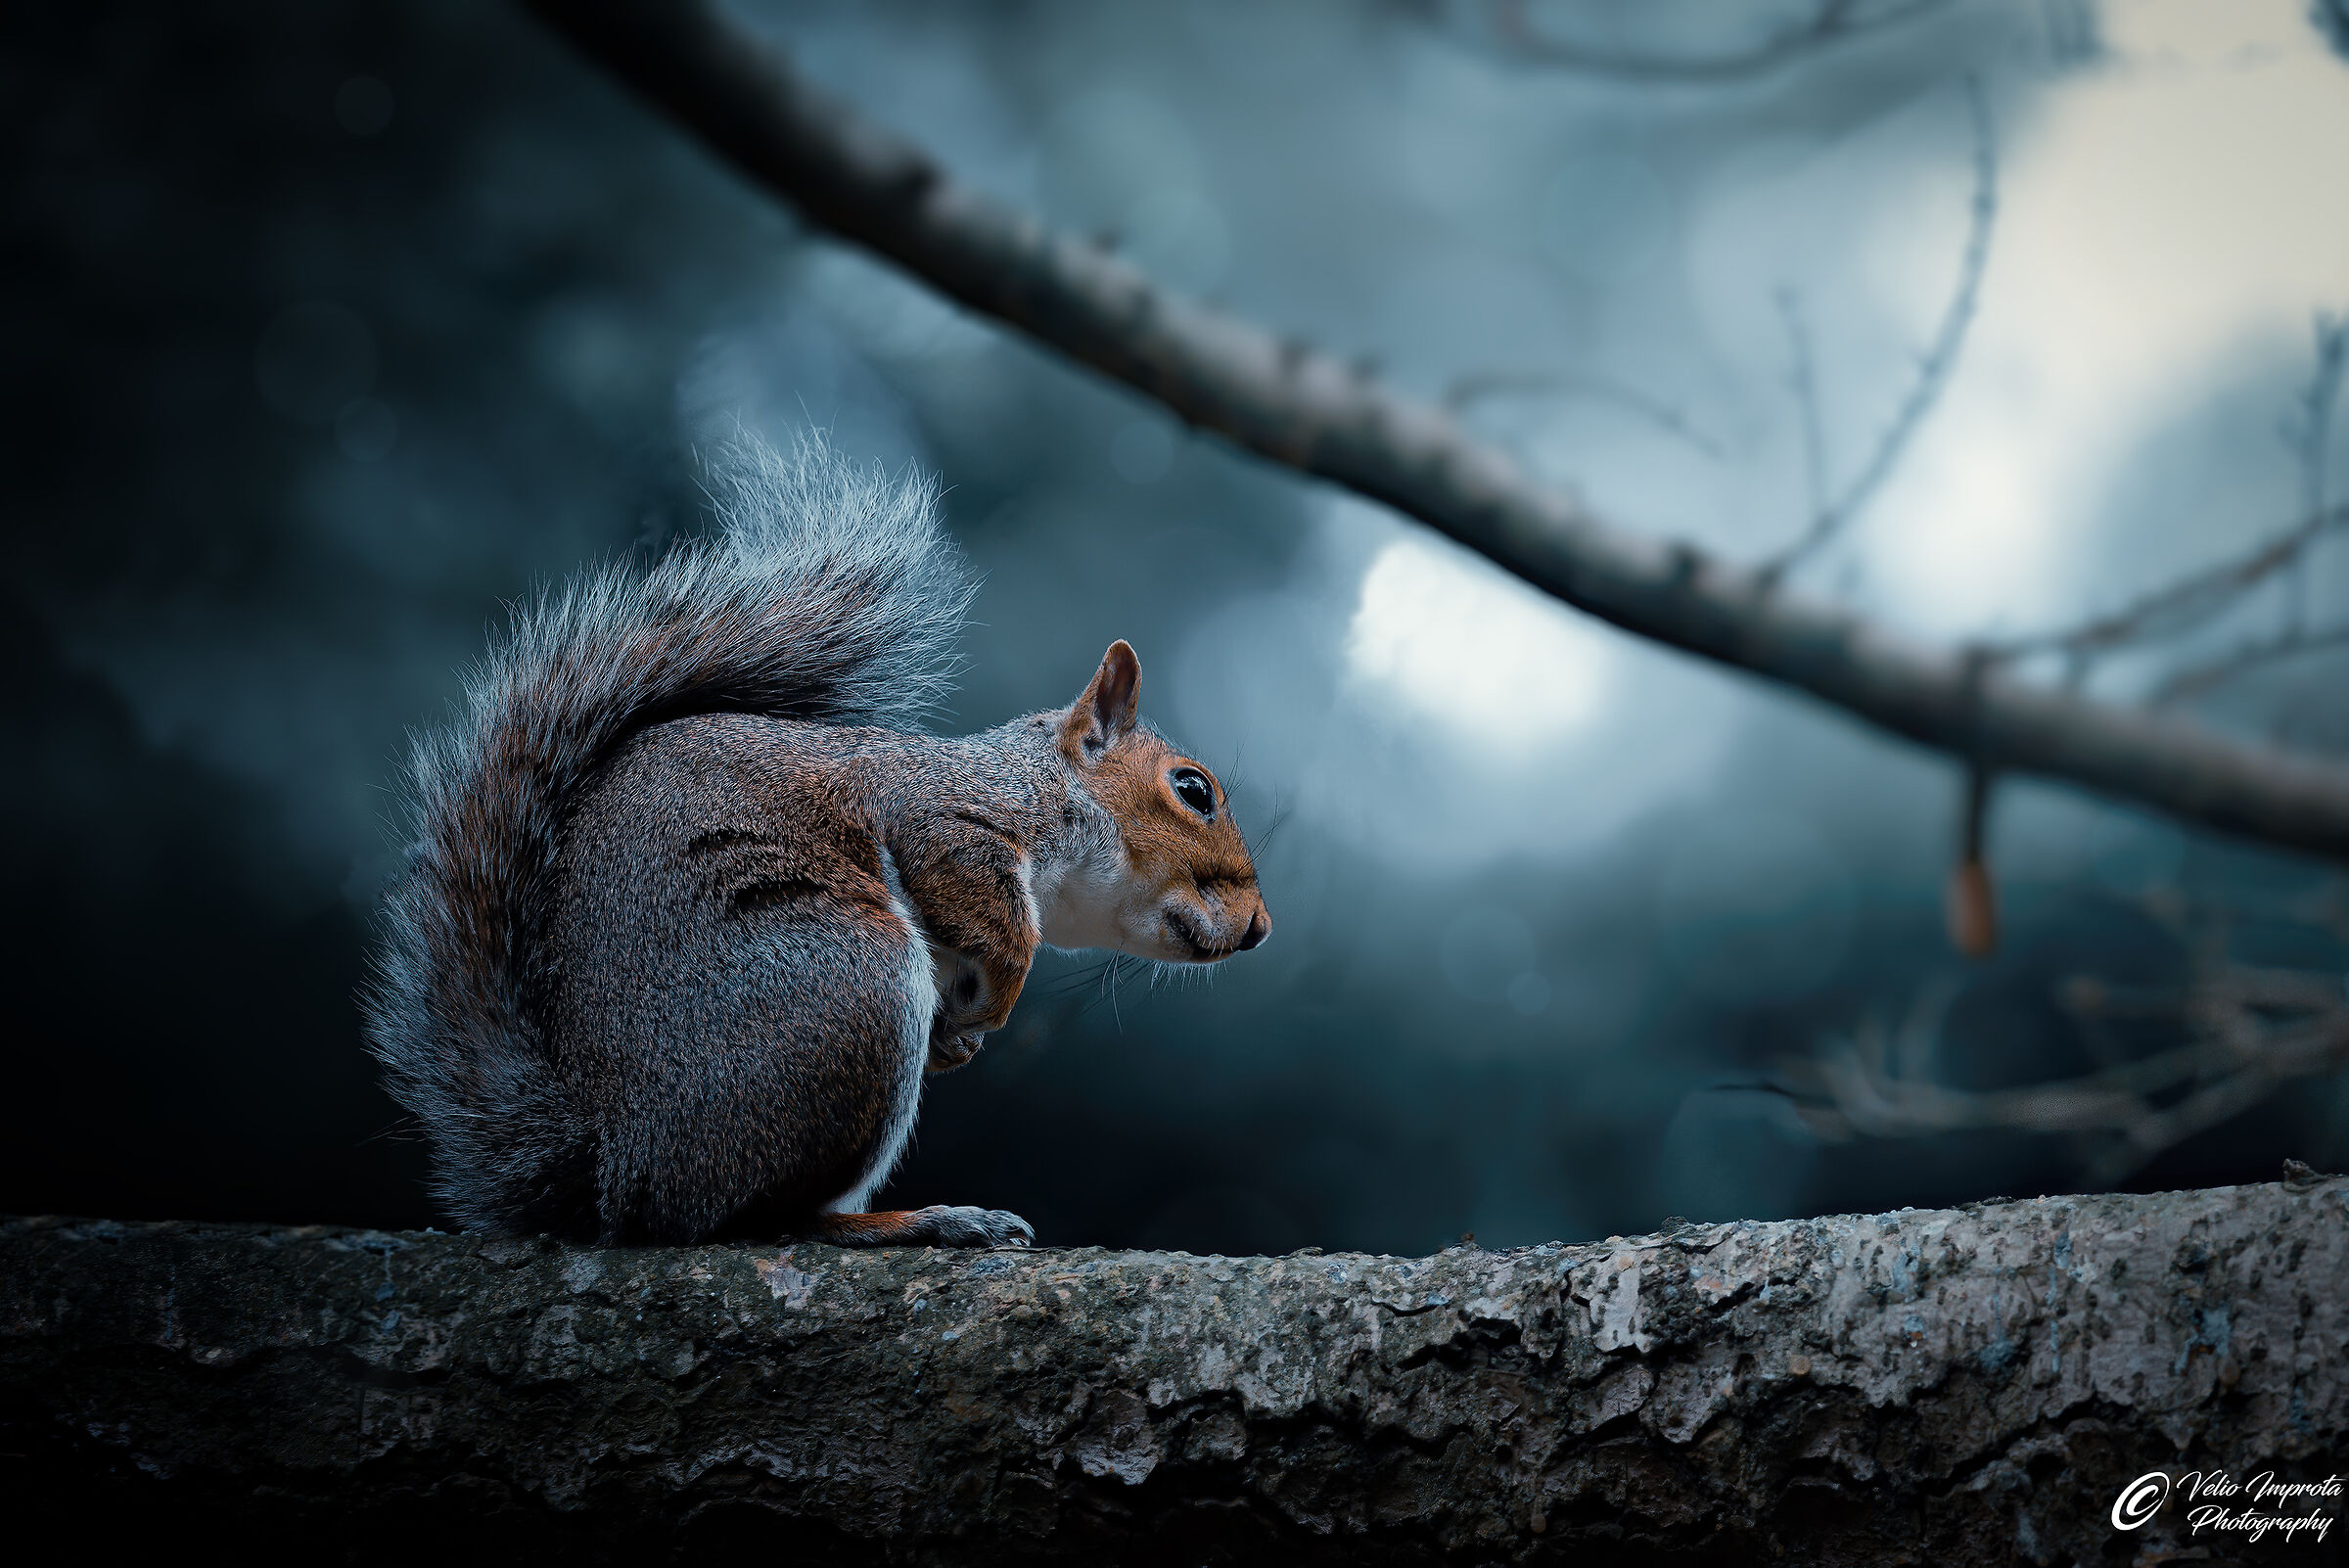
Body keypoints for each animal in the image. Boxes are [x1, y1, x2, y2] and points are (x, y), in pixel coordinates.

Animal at [364, 436, 1270, 1250]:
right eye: (1193, 791)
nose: (1260, 927)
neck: (1050, 794)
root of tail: (616, 1169)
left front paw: (962, 1039)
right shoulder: (944, 817)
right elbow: (988, 912)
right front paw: (1002, 996)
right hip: (845, 980)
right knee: (759, 1217)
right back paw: (916, 1221)